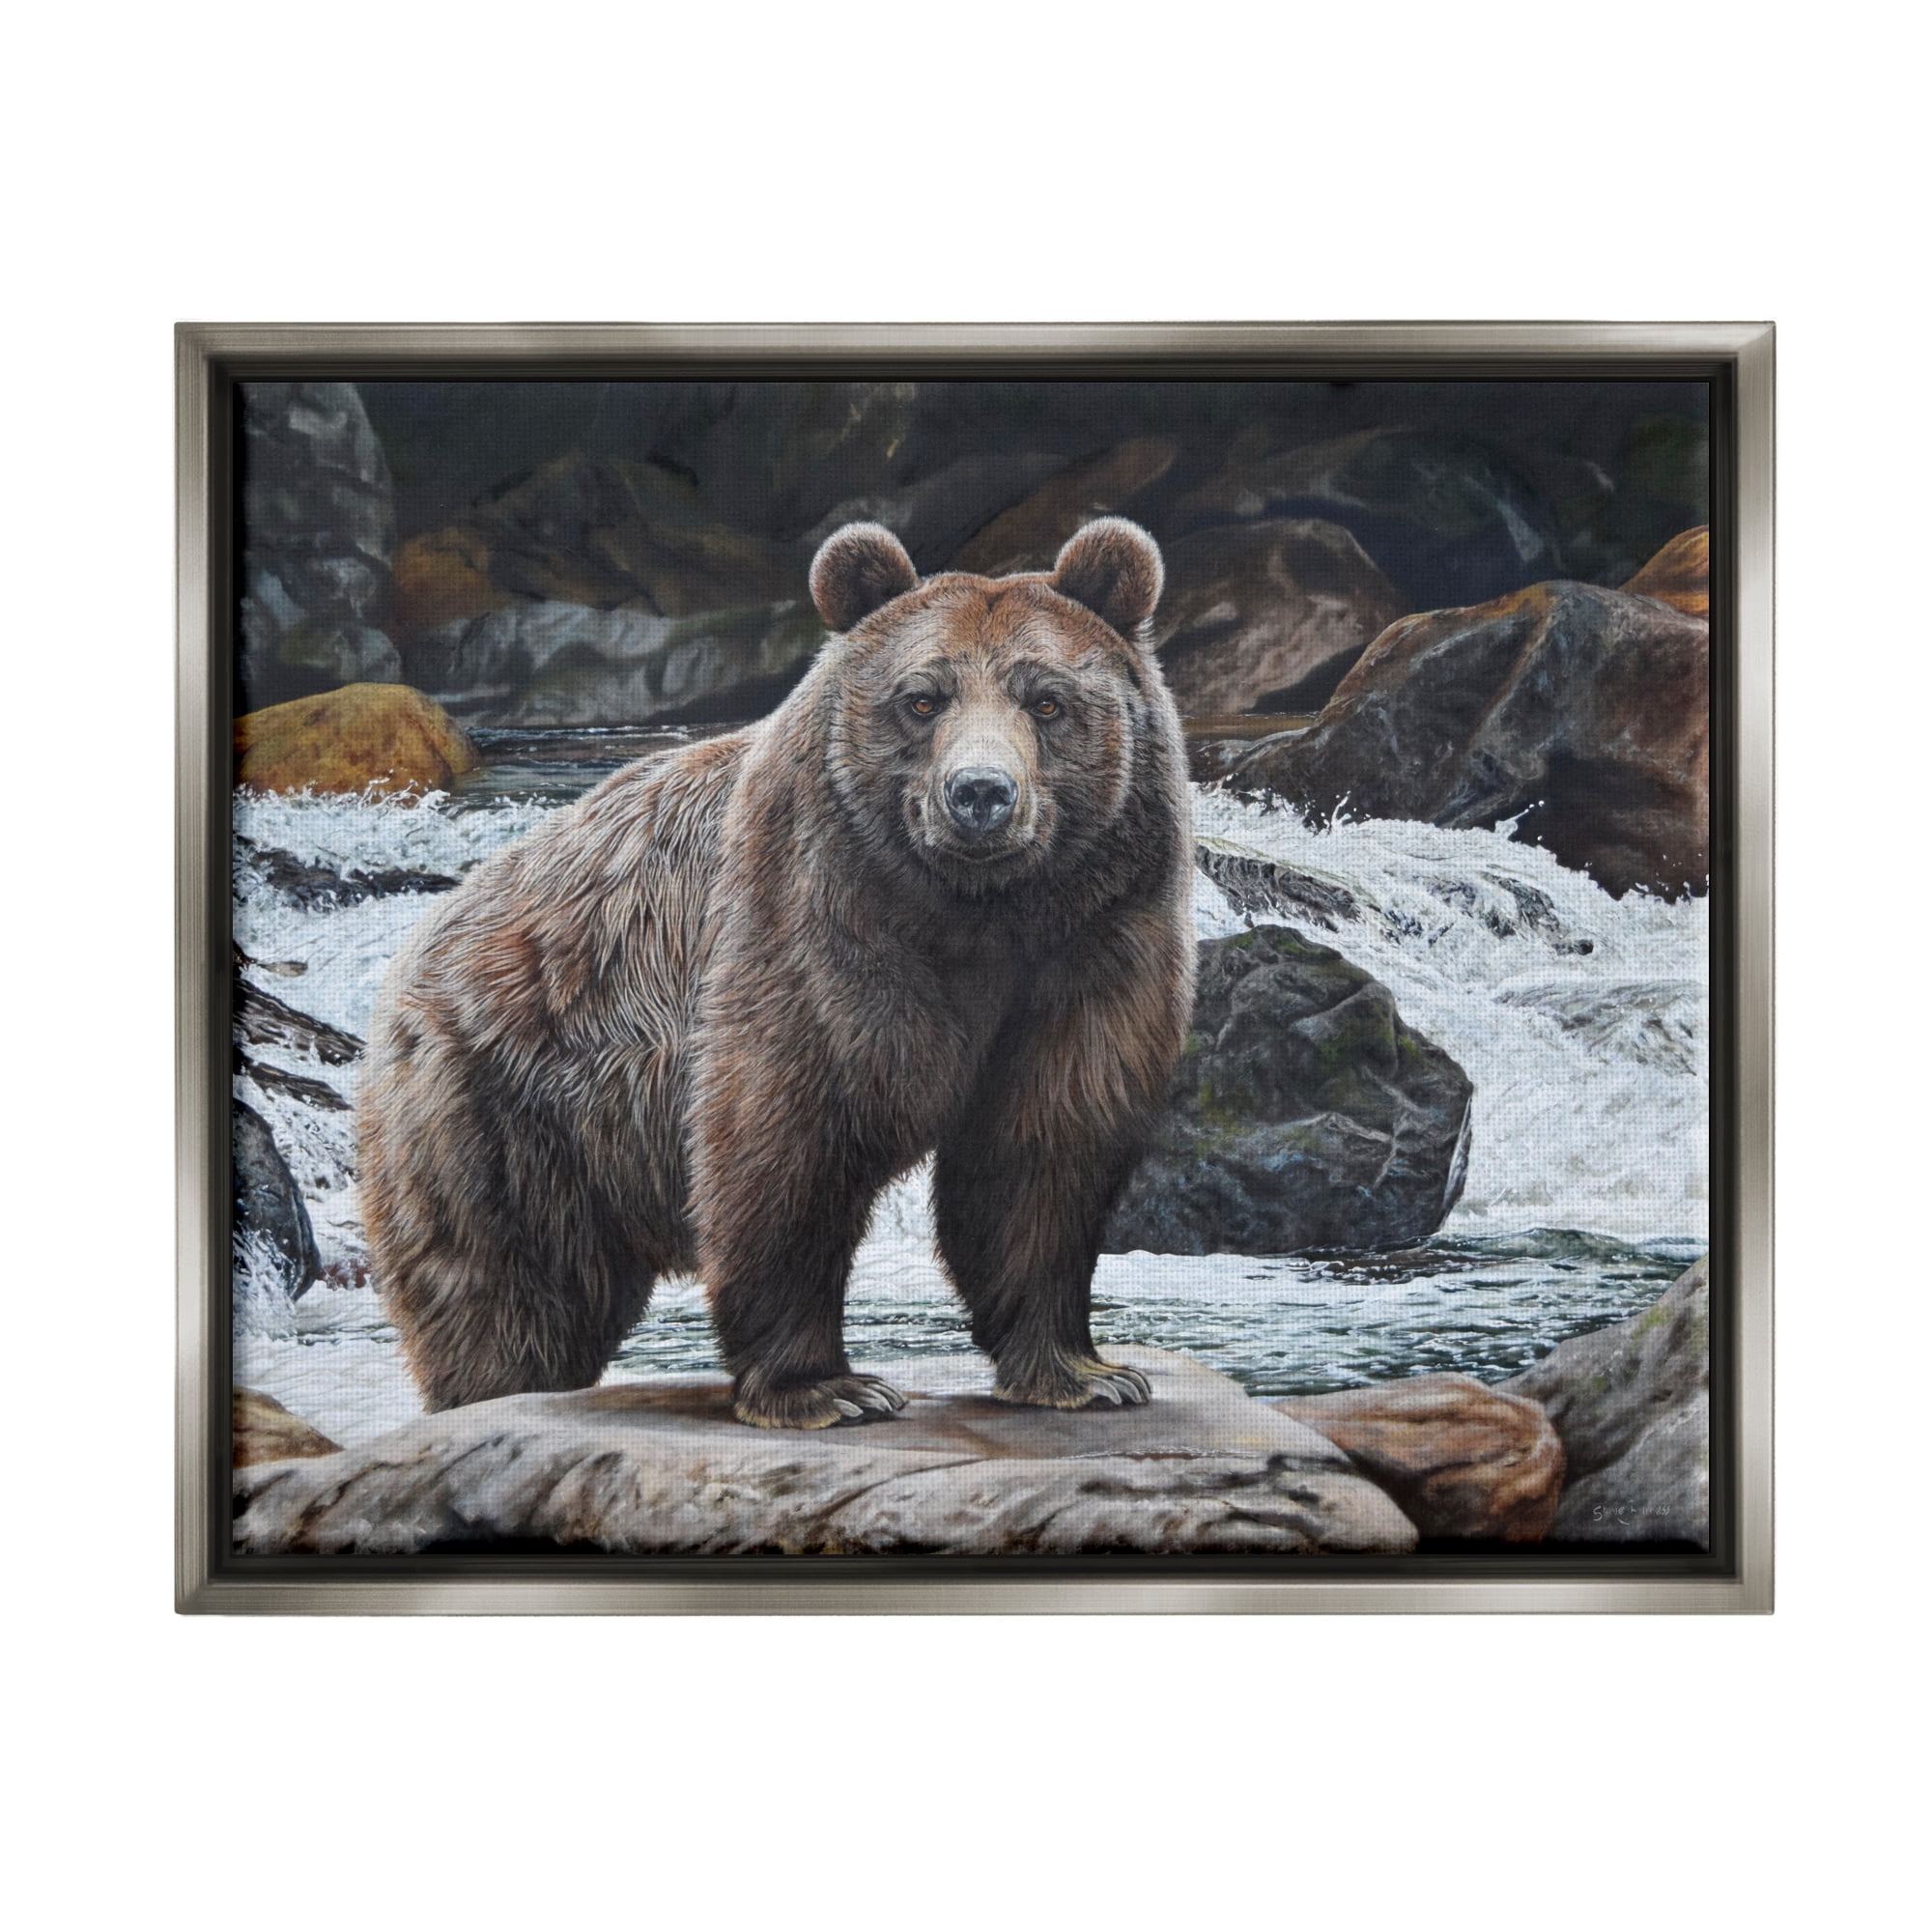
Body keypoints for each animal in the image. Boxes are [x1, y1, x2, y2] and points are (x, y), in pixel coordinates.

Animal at [357, 517, 1196, 1428]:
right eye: (922, 699)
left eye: (1047, 701)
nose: (980, 794)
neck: (982, 914)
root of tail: (419, 947)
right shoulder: (813, 917)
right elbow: (789, 1134)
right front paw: (828, 1388)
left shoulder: (1095, 941)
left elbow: (1041, 1147)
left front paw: (1082, 1371)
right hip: (505, 1106)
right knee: (507, 1293)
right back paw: (491, 1391)